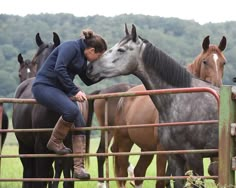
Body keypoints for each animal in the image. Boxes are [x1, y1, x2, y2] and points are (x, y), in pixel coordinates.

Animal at [86, 23, 219, 188]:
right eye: (205, 62)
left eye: (121, 50)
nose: (90, 68)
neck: (182, 99)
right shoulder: (175, 156)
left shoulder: (193, 157)